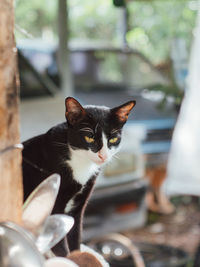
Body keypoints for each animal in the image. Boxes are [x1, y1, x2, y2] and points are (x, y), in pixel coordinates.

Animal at [22, 97, 136, 256]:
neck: (80, 163)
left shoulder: (77, 207)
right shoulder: (53, 209)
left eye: (113, 139)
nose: (103, 156)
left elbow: (75, 238)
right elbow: (62, 248)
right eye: (89, 137)